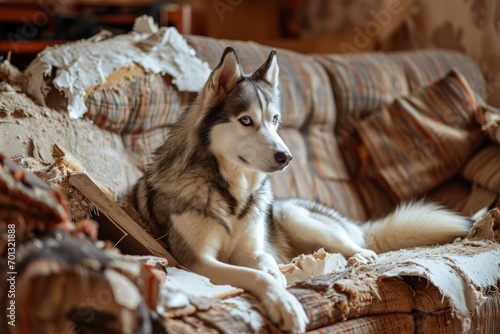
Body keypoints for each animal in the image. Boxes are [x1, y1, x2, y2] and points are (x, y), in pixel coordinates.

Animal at [132, 47, 468, 332]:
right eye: (246, 120)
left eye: (275, 120)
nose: (286, 156)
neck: (232, 194)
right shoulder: (197, 261)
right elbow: (254, 275)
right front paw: (283, 300)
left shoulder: (251, 249)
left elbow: (265, 263)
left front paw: (278, 278)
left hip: (297, 218)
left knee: (358, 245)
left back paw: (359, 257)